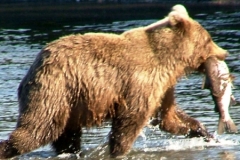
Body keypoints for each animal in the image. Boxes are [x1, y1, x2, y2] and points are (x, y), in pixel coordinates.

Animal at [0, 4, 227, 159]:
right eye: (209, 39)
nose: (224, 53)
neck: (170, 60)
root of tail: (35, 63)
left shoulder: (163, 86)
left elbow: (168, 117)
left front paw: (206, 133)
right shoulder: (141, 81)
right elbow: (130, 121)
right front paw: (119, 150)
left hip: (70, 103)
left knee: (67, 136)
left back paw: (72, 152)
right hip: (54, 89)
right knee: (38, 128)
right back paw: (8, 148)